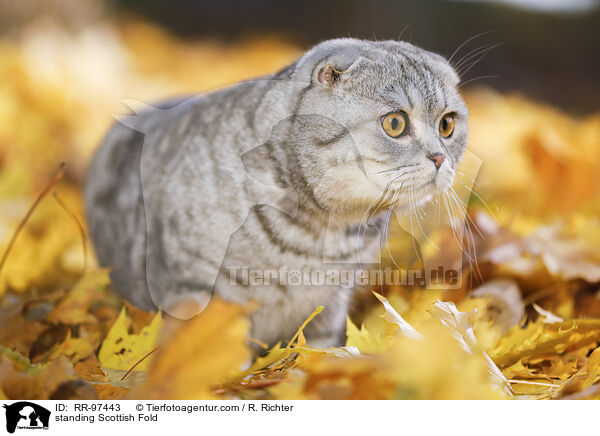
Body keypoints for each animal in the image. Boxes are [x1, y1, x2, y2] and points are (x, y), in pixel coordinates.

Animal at [85, 37, 468, 350]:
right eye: (395, 123)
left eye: (447, 125)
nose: (439, 157)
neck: (323, 231)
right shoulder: (196, 287)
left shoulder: (330, 307)